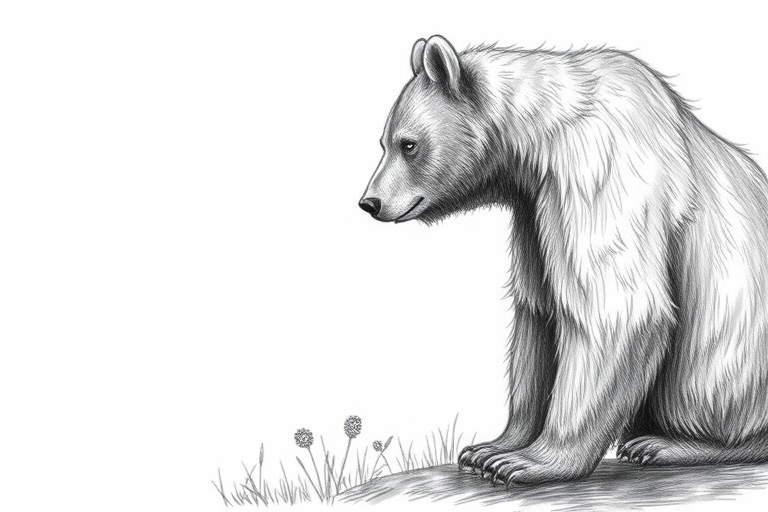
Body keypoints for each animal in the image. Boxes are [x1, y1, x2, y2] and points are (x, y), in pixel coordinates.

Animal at [359, 35, 768, 486]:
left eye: (408, 144)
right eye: (383, 142)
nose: (370, 202)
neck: (539, 139)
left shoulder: (597, 171)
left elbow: (614, 307)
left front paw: (530, 461)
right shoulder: (531, 208)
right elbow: (536, 314)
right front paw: (490, 449)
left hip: (733, 345)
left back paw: (667, 444)